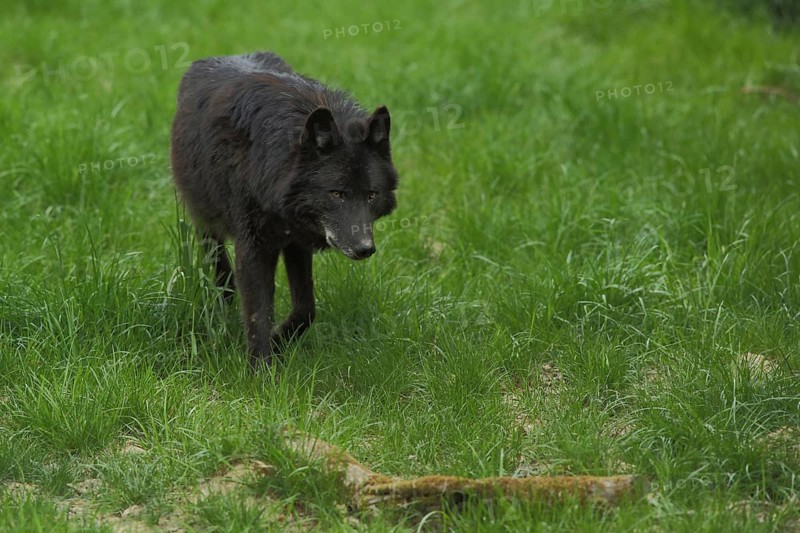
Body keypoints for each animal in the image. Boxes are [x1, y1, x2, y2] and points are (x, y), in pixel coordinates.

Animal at [170, 52, 398, 366]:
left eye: (371, 195)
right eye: (337, 194)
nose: (364, 248)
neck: (271, 164)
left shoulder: (297, 242)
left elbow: (306, 309)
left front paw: (278, 342)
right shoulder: (252, 246)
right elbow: (258, 313)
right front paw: (260, 369)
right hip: (206, 218)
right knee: (218, 262)